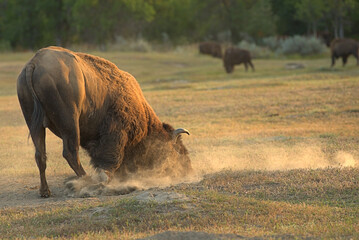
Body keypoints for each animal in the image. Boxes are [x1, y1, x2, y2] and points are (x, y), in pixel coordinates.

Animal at [17, 46, 191, 197]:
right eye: (176, 150)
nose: (186, 169)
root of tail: (34, 64)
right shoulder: (116, 131)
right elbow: (111, 158)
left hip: (34, 123)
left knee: (40, 155)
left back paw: (45, 191)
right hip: (70, 122)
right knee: (70, 153)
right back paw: (87, 182)